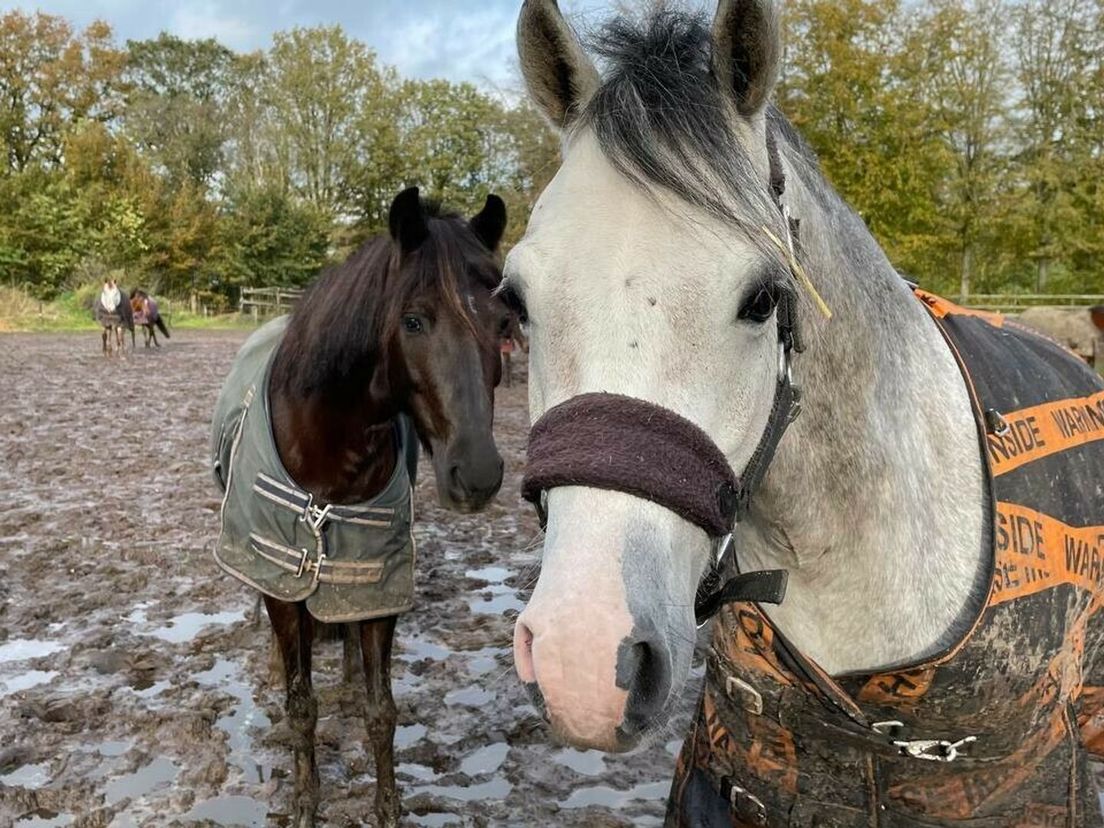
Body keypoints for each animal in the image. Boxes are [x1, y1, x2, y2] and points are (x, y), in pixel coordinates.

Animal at [211, 187, 512, 828]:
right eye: (413, 319)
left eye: (504, 324)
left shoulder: (378, 581)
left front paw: (389, 808)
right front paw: (305, 804)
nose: (477, 473)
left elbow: (382, 711)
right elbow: (301, 704)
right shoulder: (281, 578)